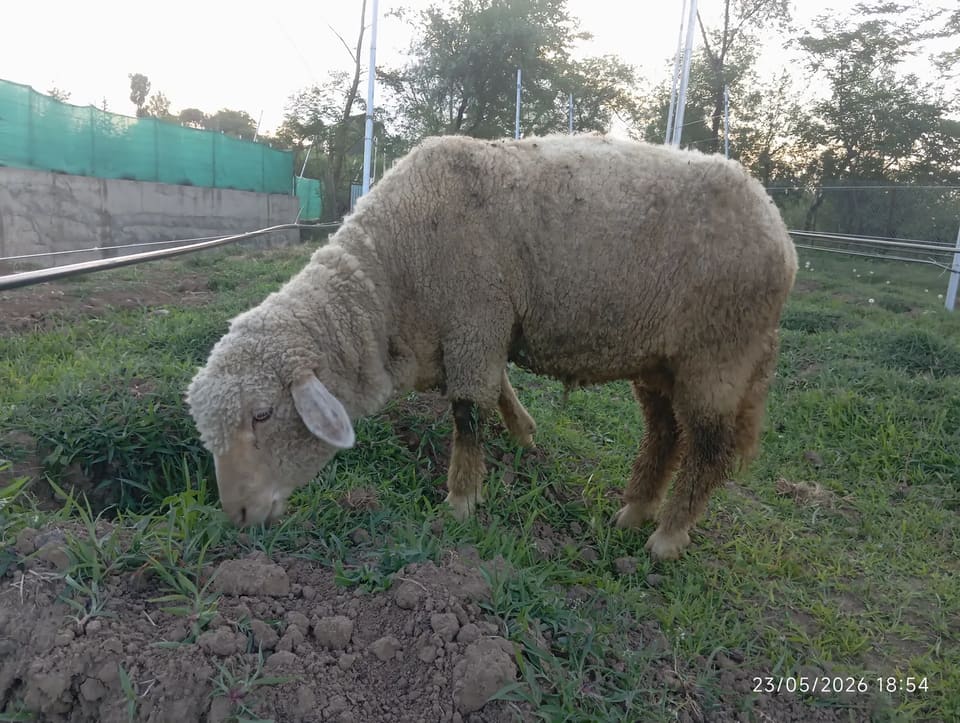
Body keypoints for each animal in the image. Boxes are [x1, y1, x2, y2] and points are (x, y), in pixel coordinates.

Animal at [186, 133, 797, 561]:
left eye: (263, 415)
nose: (238, 515)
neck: (390, 282)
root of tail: (777, 225)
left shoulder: (473, 318)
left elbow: (467, 412)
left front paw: (460, 501)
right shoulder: (476, 328)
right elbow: (496, 390)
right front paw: (525, 434)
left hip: (719, 351)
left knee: (708, 448)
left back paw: (668, 536)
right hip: (663, 358)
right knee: (665, 433)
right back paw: (634, 511)